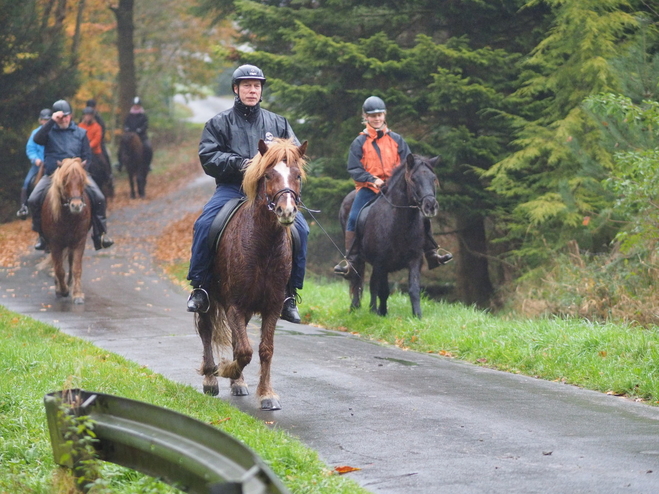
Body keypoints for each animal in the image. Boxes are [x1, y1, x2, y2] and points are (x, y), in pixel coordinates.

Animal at [41, 158, 92, 304]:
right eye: (65, 181)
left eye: (82, 180)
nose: (76, 206)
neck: (69, 218)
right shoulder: (55, 244)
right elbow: (59, 269)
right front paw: (62, 290)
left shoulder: (79, 241)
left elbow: (76, 268)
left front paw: (77, 294)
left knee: (69, 262)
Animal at [197, 137, 308, 412]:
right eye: (268, 175)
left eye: (297, 175)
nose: (286, 211)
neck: (264, 246)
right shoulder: (234, 305)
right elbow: (244, 351)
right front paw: (227, 370)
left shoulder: (272, 306)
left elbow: (263, 349)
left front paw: (266, 394)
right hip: (208, 299)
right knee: (206, 330)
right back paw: (210, 378)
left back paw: (237, 383)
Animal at [340, 152, 444, 318]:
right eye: (413, 179)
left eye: (433, 178)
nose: (430, 206)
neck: (399, 224)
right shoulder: (381, 262)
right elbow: (382, 290)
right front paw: (380, 313)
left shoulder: (415, 260)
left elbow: (414, 289)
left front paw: (417, 315)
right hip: (361, 260)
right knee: (358, 279)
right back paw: (356, 307)